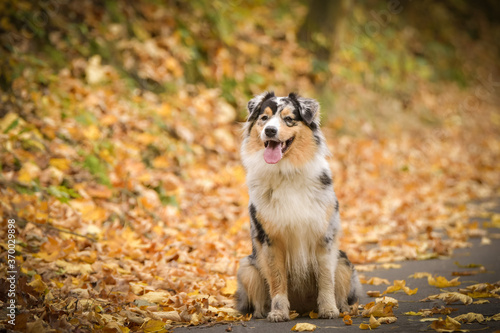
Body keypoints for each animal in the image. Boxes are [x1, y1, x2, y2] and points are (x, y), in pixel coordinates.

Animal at [234, 91, 360, 322]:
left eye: (289, 119)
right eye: (264, 118)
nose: (270, 130)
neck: (286, 171)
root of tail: (302, 309)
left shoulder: (323, 236)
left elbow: (326, 278)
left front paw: (329, 309)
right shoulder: (271, 240)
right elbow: (277, 280)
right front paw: (278, 312)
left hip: (344, 262)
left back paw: (343, 309)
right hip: (247, 267)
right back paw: (261, 312)